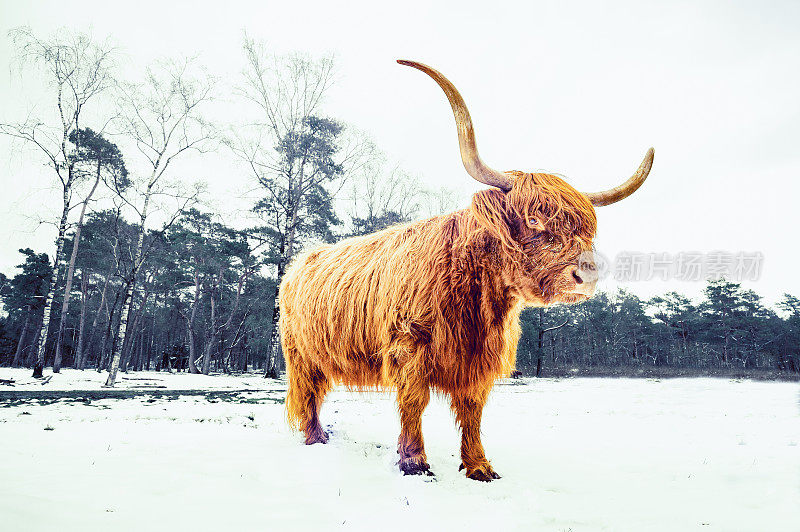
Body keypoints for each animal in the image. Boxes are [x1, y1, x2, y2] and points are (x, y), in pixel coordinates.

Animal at [278, 61, 652, 482]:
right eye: (533, 219)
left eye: (587, 229)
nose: (586, 276)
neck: (475, 297)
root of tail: (297, 265)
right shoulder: (410, 345)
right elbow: (414, 401)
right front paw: (414, 461)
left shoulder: (480, 357)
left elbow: (472, 409)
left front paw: (479, 466)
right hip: (301, 355)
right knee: (309, 394)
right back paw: (315, 439)